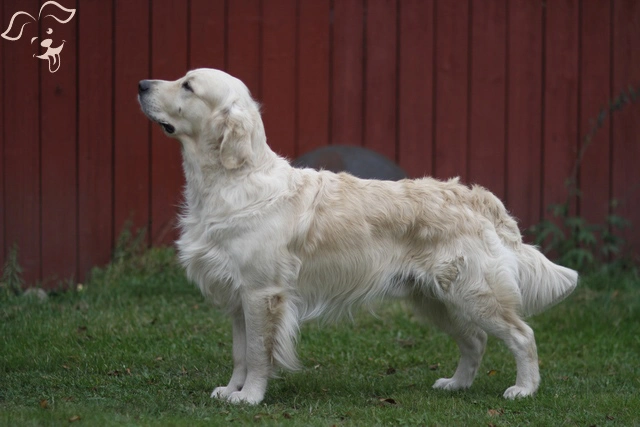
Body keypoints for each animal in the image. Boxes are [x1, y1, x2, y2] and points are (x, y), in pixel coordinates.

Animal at [138, 69, 576, 404]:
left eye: (187, 85)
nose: (141, 83)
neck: (232, 180)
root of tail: (473, 195)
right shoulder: (237, 297)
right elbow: (240, 354)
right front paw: (231, 390)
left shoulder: (262, 293)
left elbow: (259, 354)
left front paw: (250, 397)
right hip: (435, 298)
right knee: (475, 341)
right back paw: (456, 384)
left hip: (474, 293)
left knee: (522, 335)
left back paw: (524, 389)